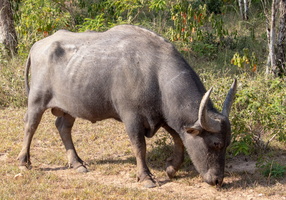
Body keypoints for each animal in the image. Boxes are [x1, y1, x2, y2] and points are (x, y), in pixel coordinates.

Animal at [17, 24, 237, 188]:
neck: (155, 74)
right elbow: (140, 146)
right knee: (30, 125)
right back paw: (23, 160)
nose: (218, 180)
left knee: (63, 127)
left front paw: (171, 168)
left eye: (228, 143)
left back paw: (77, 163)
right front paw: (146, 177)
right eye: (216, 143)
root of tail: (37, 46)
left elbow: (179, 139)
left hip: (70, 107)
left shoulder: (163, 117)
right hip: (36, 100)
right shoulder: (132, 118)